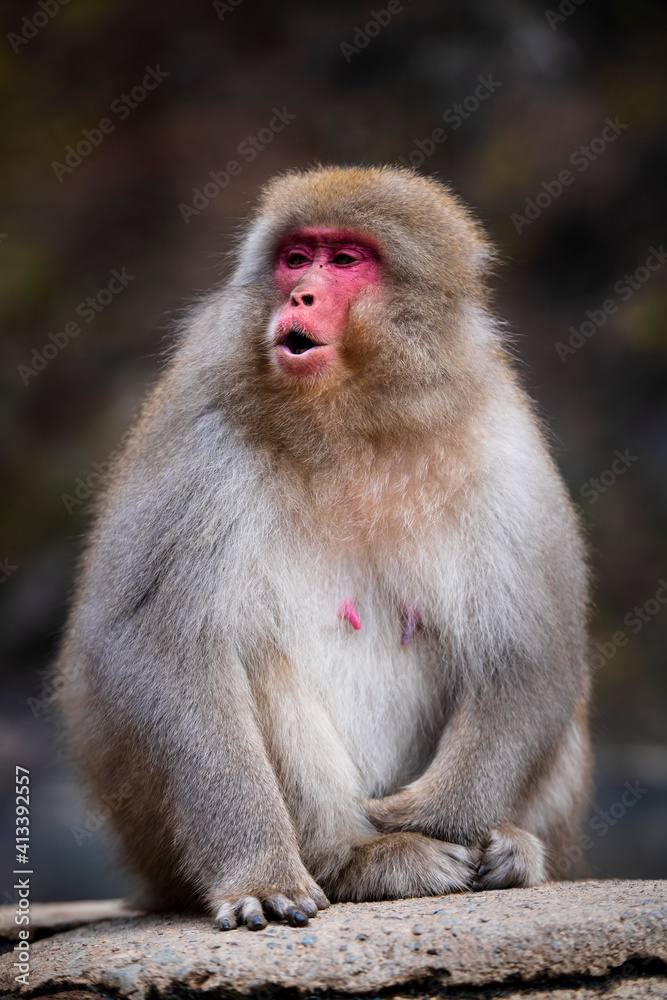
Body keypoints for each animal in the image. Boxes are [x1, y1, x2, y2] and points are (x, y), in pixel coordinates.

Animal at [56, 166, 588, 928]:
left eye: (344, 261)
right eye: (295, 258)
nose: (299, 295)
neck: (352, 421)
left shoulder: (502, 440)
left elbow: (532, 648)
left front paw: (437, 811)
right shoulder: (203, 430)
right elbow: (156, 645)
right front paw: (261, 871)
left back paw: (511, 849)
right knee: (247, 653)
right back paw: (360, 862)